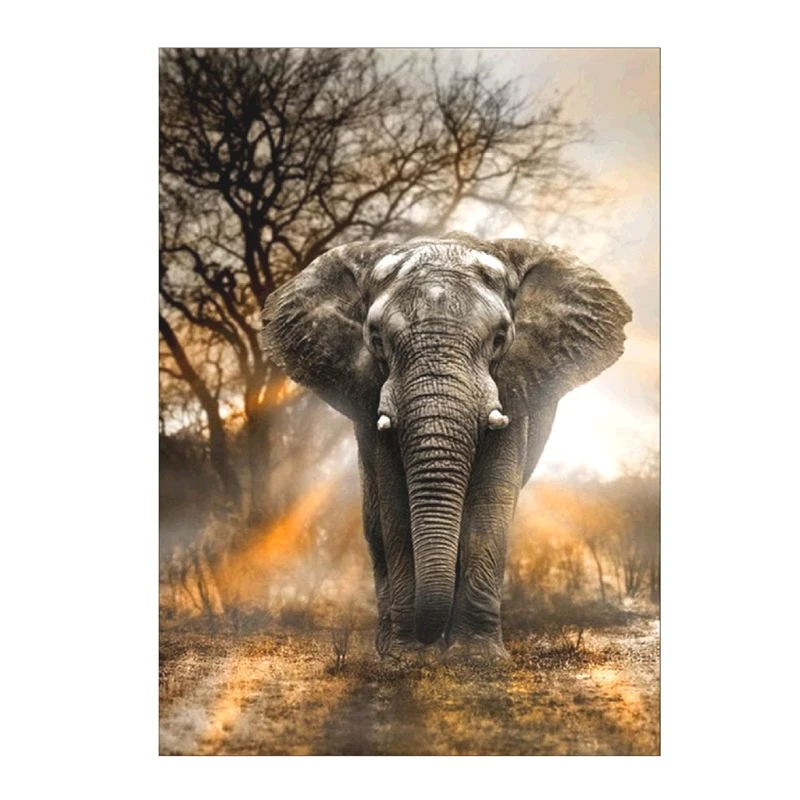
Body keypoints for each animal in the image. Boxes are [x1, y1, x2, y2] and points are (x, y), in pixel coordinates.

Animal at [261, 232, 632, 663]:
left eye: (500, 339)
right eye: (376, 340)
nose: (427, 640)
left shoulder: (512, 389)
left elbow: (490, 503)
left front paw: (476, 659)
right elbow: (396, 506)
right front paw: (407, 659)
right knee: (375, 525)